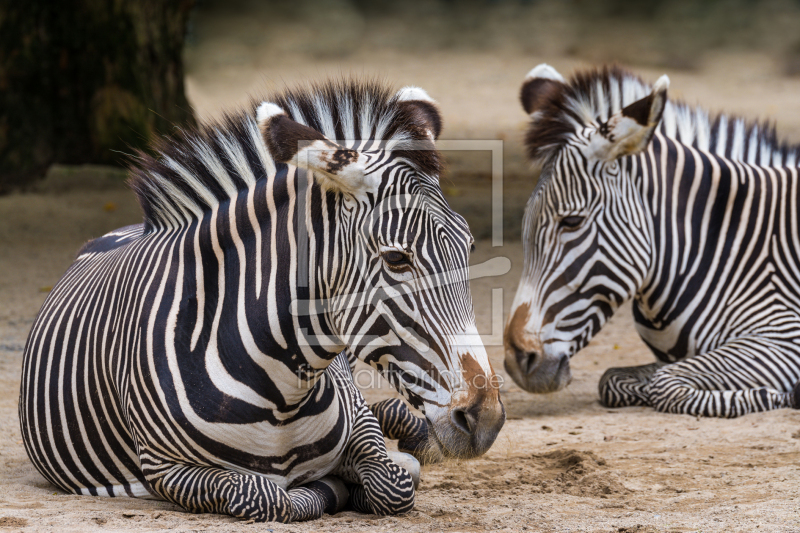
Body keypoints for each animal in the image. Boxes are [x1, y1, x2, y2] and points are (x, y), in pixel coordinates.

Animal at [17, 79, 506, 520]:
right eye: (396, 259)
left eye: (469, 247)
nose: (485, 419)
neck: (281, 394)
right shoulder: (164, 468)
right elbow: (269, 496)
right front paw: (331, 488)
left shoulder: (358, 421)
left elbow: (392, 483)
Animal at [504, 64, 800, 418]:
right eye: (525, 224)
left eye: (572, 221)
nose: (517, 360)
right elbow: (613, 379)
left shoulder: (783, 336)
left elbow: (665, 384)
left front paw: (778, 395)